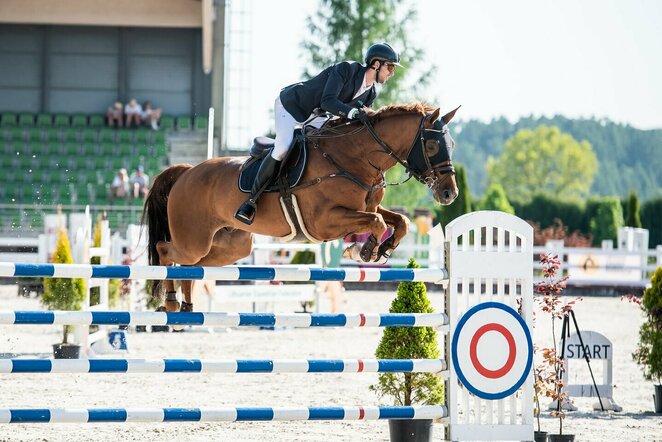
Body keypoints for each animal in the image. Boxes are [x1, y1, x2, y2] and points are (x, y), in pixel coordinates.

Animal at [142, 102, 460, 310]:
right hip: (194, 239)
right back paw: (171, 303)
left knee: (190, 265)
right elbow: (377, 222)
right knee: (165, 251)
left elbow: (398, 222)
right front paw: (363, 249)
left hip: (230, 246)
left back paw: (186, 306)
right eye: (432, 146)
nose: (449, 194)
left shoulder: (364, 207)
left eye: (453, 145)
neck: (355, 157)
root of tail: (185, 172)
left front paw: (381, 248)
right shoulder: (324, 222)